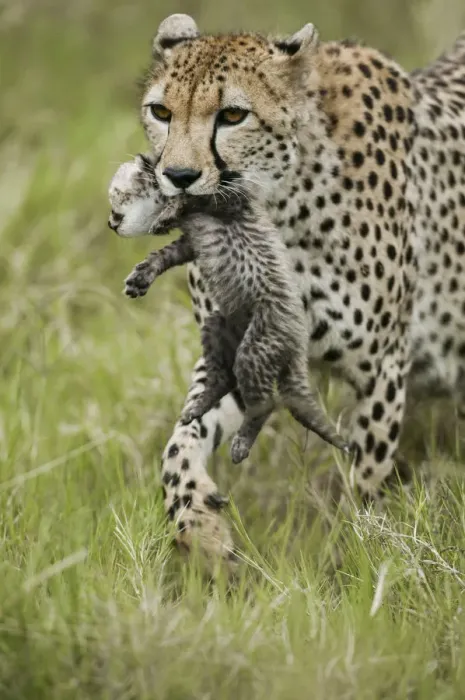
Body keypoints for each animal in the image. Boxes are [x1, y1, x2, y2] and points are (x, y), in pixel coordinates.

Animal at [108, 155, 350, 467]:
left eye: (118, 198)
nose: (111, 223)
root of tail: (298, 341)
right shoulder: (192, 241)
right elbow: (169, 252)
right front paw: (142, 276)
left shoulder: (232, 199)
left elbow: (197, 198)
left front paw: (168, 213)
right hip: (220, 324)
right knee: (226, 378)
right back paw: (197, 407)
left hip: (256, 347)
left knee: (265, 402)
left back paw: (241, 444)